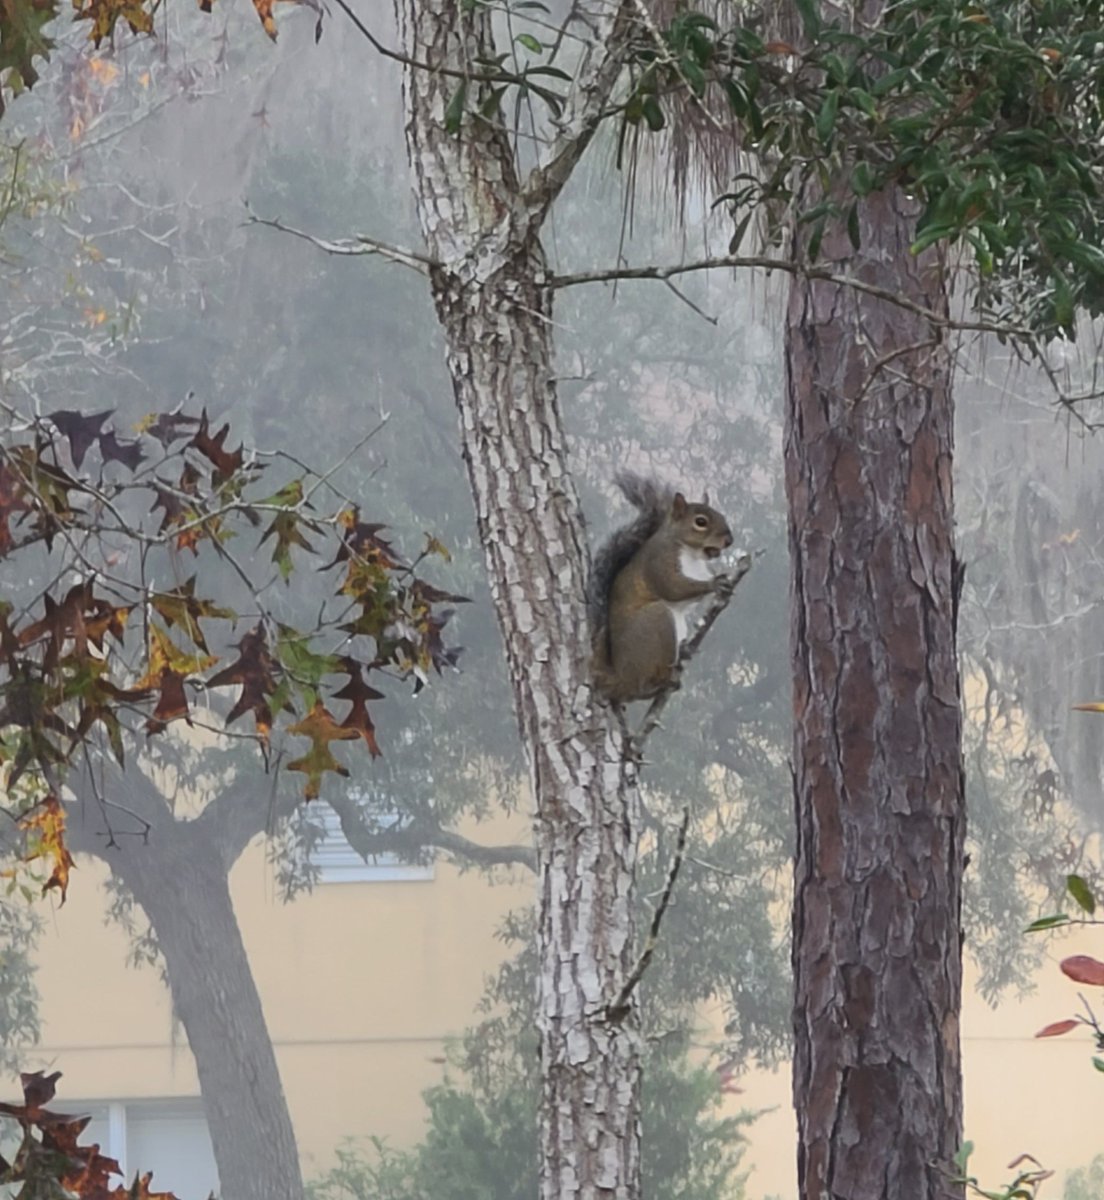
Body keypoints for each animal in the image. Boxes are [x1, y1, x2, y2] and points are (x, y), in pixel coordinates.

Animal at [587, 473, 733, 703]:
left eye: (721, 515)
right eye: (700, 522)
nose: (729, 540)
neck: (692, 554)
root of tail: (621, 680)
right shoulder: (658, 563)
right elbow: (672, 587)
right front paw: (714, 584)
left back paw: (684, 651)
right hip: (656, 622)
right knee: (642, 688)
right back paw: (662, 682)